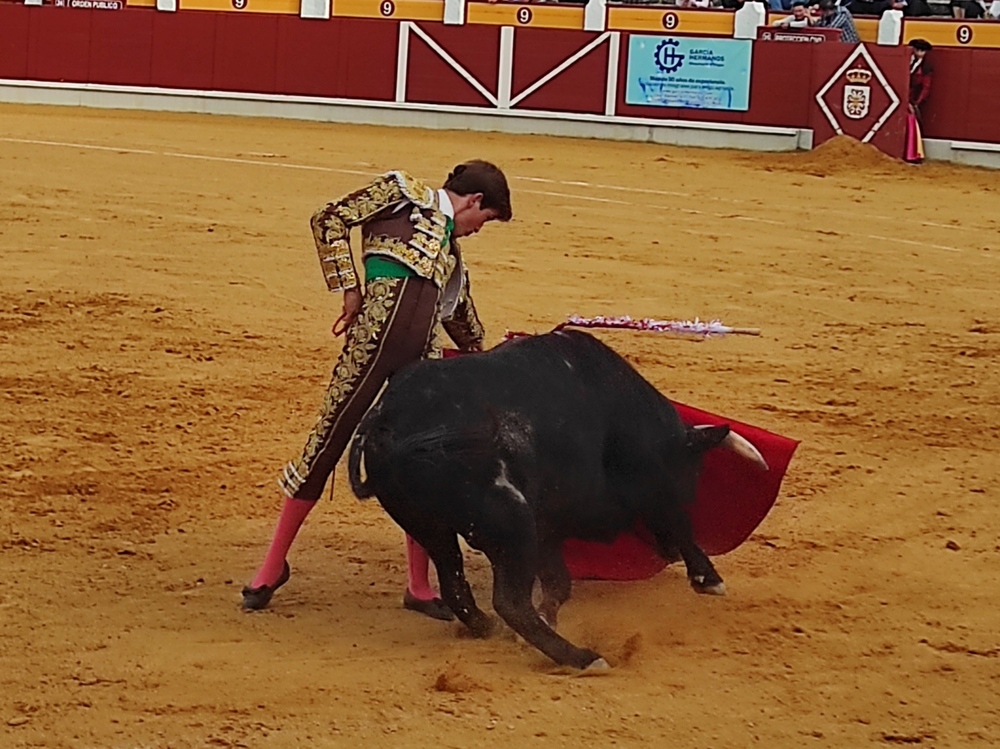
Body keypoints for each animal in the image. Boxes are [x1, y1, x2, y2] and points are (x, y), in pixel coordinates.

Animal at [348, 330, 768, 668]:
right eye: (692, 477)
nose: (666, 554)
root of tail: (387, 423)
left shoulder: (547, 525)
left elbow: (558, 583)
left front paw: (548, 613)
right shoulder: (650, 478)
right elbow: (677, 519)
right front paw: (709, 579)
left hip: (428, 526)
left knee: (456, 586)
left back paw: (490, 628)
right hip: (510, 521)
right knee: (510, 602)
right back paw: (583, 658)